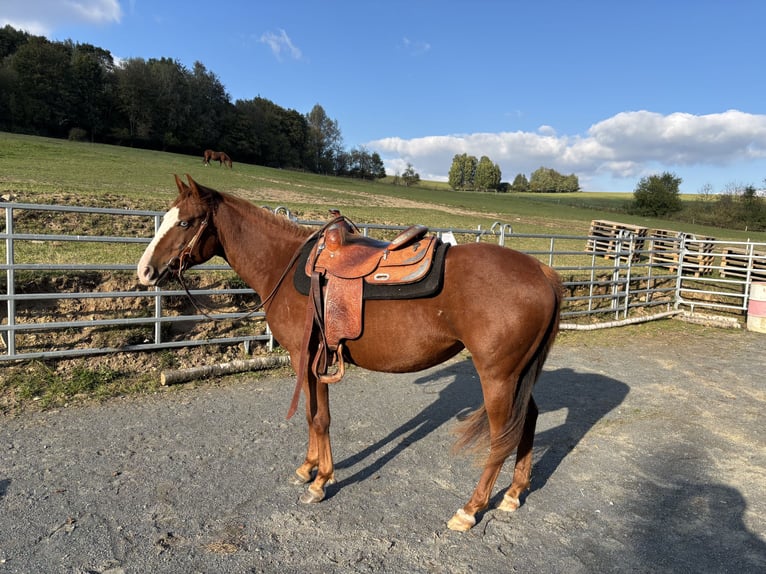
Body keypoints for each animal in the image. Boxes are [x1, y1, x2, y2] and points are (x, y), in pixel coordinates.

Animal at [136, 174, 562, 531]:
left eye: (186, 223)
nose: (144, 271)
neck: (284, 265)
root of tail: (543, 273)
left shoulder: (309, 358)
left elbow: (319, 417)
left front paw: (321, 481)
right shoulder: (309, 362)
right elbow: (310, 416)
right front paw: (307, 468)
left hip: (497, 376)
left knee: (501, 436)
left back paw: (470, 509)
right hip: (518, 376)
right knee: (528, 419)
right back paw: (513, 493)